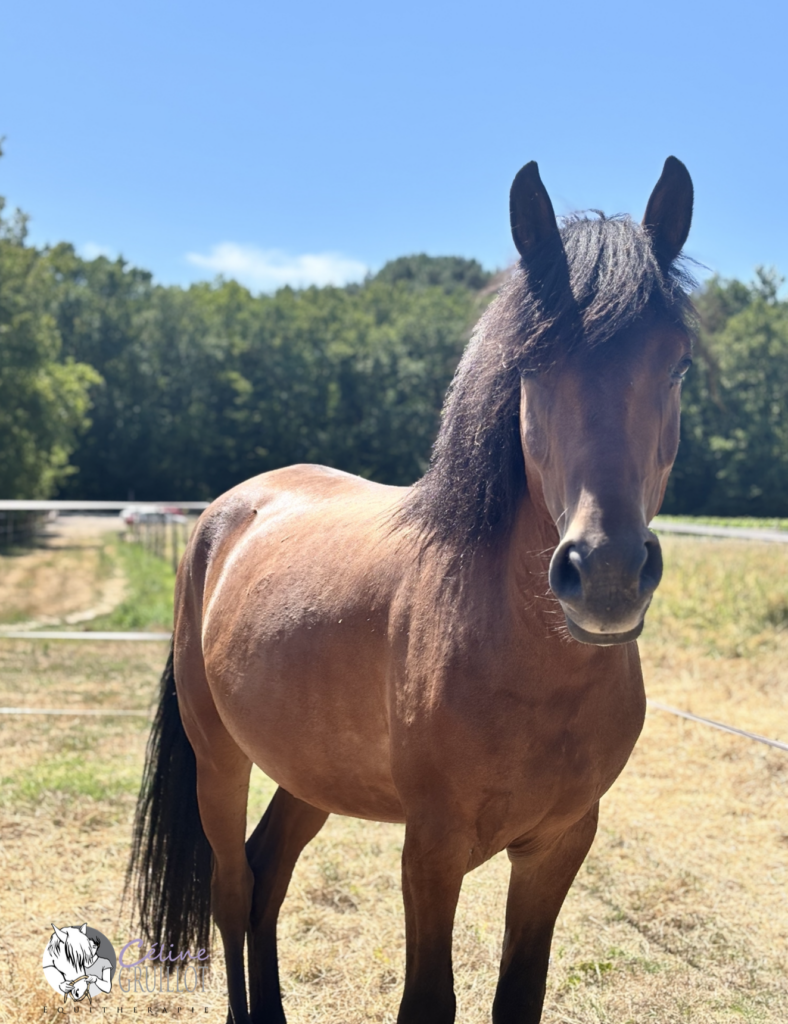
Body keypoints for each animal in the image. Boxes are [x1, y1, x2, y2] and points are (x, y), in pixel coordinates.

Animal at [128, 156, 695, 1024]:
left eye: (676, 364)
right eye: (532, 365)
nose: (605, 574)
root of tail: (226, 513)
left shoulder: (560, 845)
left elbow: (518, 997)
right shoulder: (432, 847)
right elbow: (428, 1000)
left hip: (308, 772)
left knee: (266, 877)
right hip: (218, 756)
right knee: (231, 888)